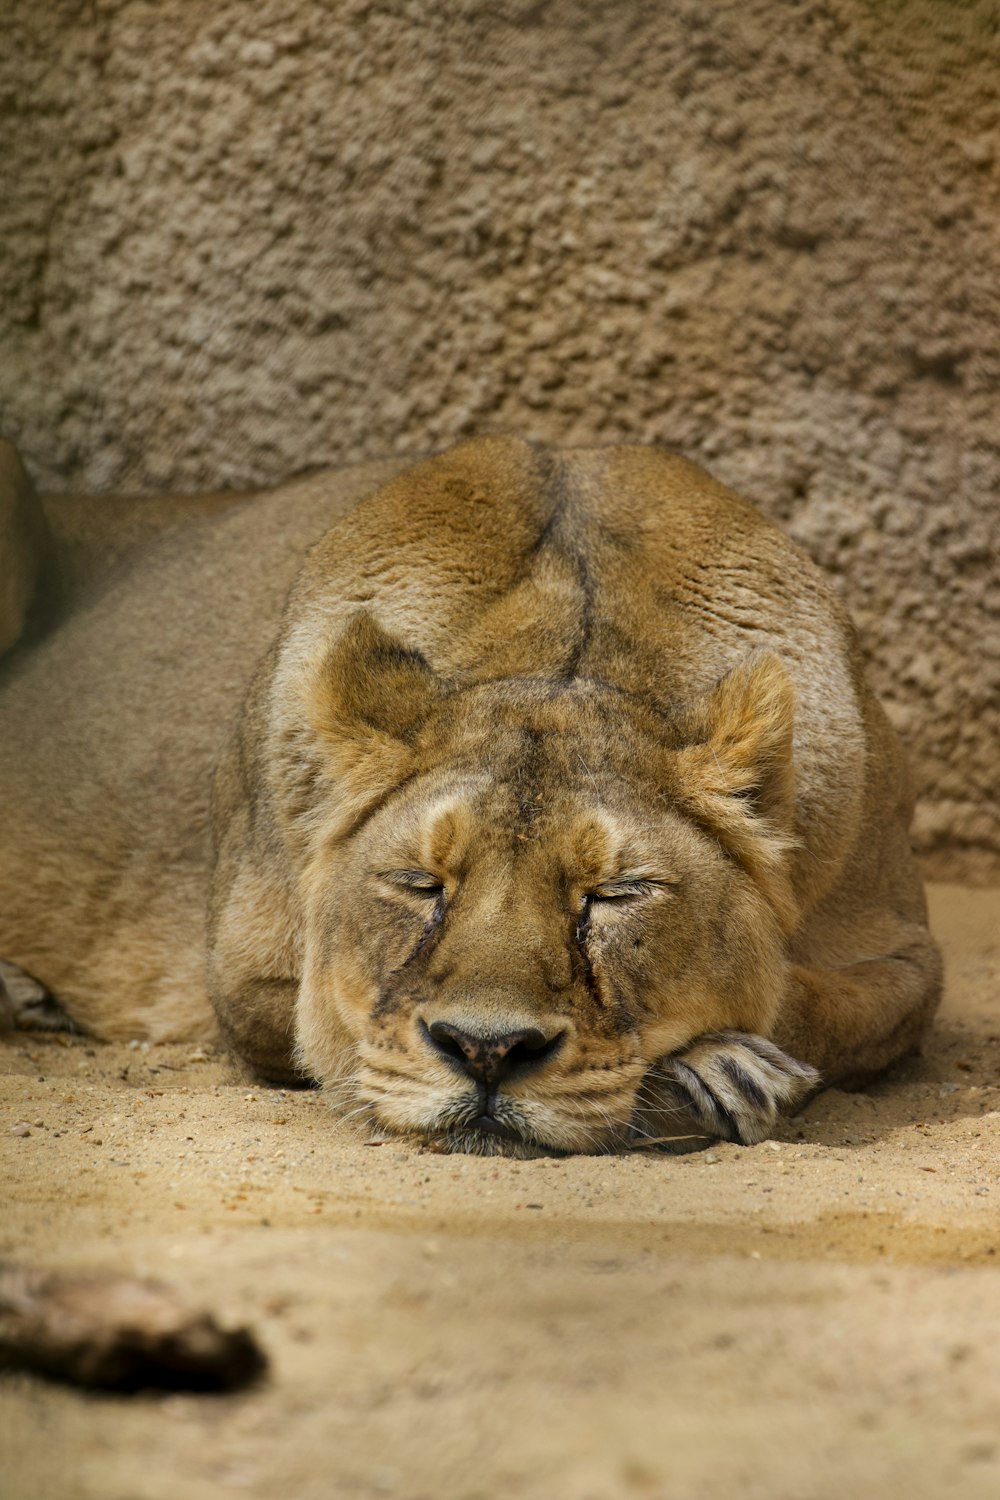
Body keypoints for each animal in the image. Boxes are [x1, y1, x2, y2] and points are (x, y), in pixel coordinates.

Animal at [0, 438, 941, 1152]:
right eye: (420, 886)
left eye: (617, 894)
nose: (487, 1052)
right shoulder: (239, 976)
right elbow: (332, 1029)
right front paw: (709, 1071)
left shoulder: (905, 952)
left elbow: (808, 1000)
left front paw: (716, 1066)